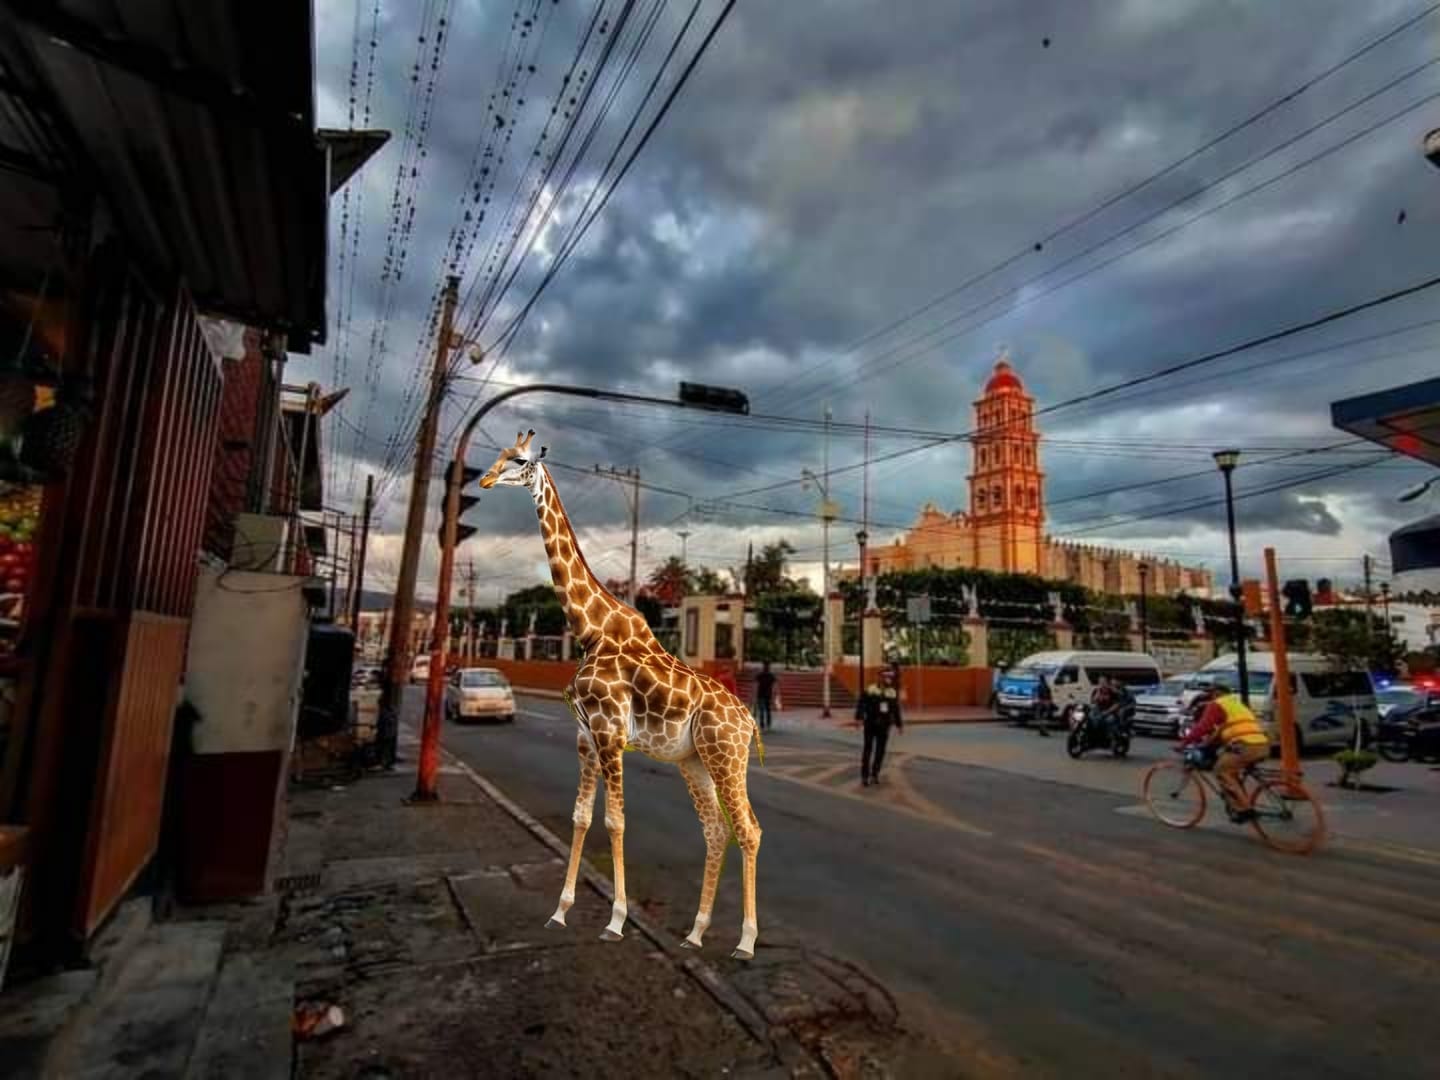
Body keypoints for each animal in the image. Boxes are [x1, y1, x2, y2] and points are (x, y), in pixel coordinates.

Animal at [475, 429, 766, 956]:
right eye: (501, 455)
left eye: (520, 461)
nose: (485, 479)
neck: (590, 631)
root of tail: (750, 719)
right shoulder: (586, 737)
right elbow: (580, 817)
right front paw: (560, 912)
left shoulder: (611, 733)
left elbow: (615, 821)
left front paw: (615, 920)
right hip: (694, 761)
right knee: (716, 831)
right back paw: (695, 933)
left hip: (726, 757)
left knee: (748, 830)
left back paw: (746, 942)